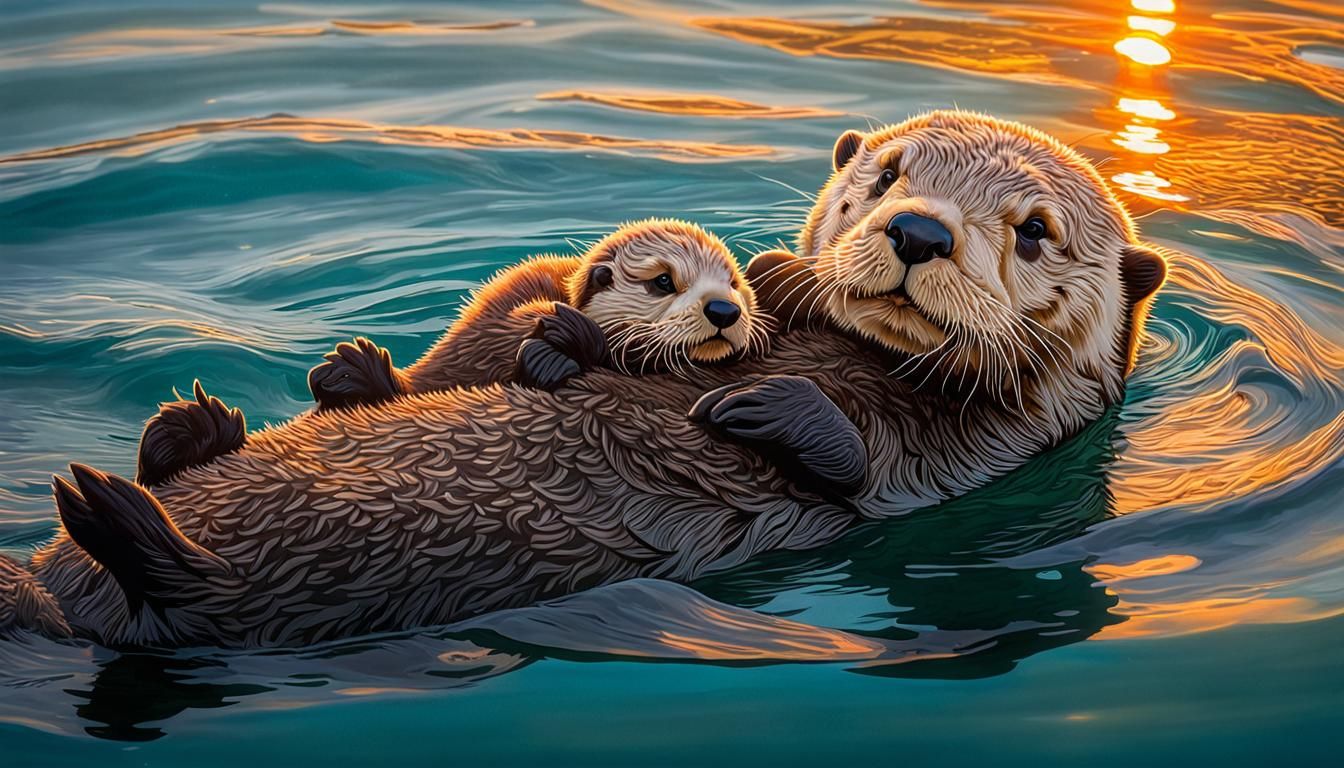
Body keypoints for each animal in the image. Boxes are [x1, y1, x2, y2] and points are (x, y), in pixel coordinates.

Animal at [136, 219, 770, 490]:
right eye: (663, 282)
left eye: (736, 284)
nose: (723, 310)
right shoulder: (512, 311)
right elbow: (516, 329)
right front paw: (563, 343)